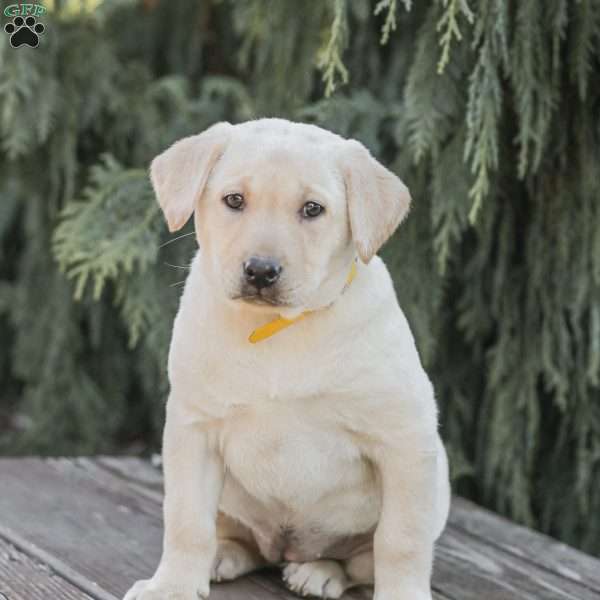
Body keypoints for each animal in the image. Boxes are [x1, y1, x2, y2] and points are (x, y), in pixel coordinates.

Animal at [124, 118, 448, 600]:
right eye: (234, 200)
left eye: (313, 209)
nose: (260, 270)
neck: (278, 328)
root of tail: (285, 549)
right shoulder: (193, 429)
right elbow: (185, 519)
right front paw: (173, 585)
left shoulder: (404, 438)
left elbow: (400, 540)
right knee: (238, 539)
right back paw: (222, 554)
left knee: (359, 560)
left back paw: (321, 572)